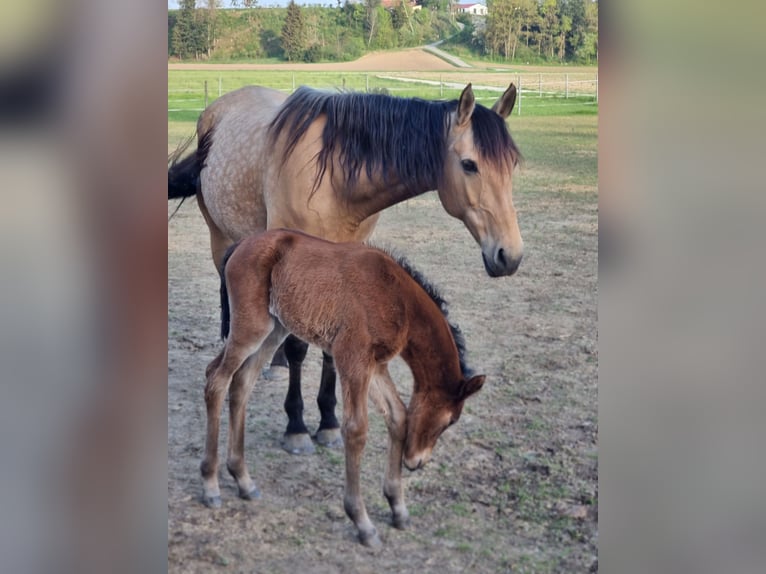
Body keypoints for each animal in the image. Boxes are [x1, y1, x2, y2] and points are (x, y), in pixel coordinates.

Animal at [170, 82, 520, 460]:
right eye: (470, 164)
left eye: (513, 163)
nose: (510, 255)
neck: (335, 179)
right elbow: (299, 348)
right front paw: (296, 427)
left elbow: (328, 349)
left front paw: (328, 423)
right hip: (220, 236)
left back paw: (275, 363)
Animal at [200, 230, 486, 548]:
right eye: (451, 420)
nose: (416, 462)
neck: (399, 299)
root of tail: (241, 245)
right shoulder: (352, 358)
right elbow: (356, 429)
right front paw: (362, 522)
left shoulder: (374, 365)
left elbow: (399, 416)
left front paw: (397, 507)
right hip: (251, 328)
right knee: (216, 379)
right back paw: (211, 485)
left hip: (274, 330)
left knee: (241, 383)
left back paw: (243, 480)